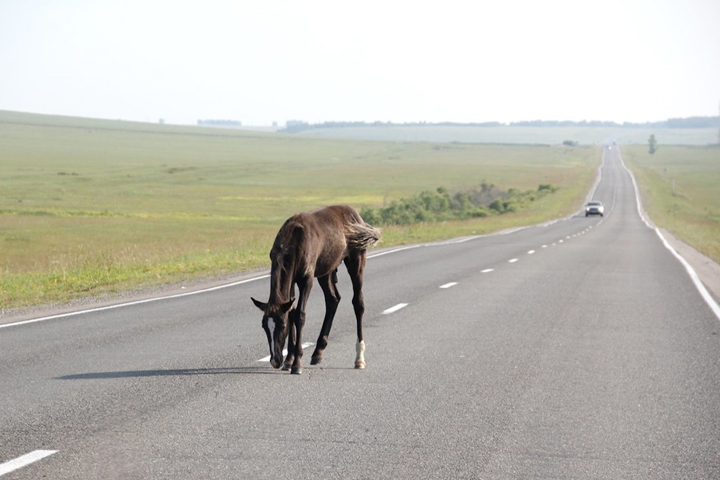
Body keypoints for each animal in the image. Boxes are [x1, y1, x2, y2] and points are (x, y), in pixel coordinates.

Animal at [250, 204, 380, 374]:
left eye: (282, 325)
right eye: (264, 326)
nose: (275, 361)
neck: (293, 241)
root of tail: (357, 216)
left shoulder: (307, 279)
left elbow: (300, 314)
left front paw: (297, 363)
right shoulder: (292, 280)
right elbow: (291, 312)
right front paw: (289, 360)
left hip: (356, 261)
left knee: (358, 303)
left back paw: (359, 358)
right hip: (326, 271)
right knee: (333, 299)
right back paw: (318, 352)